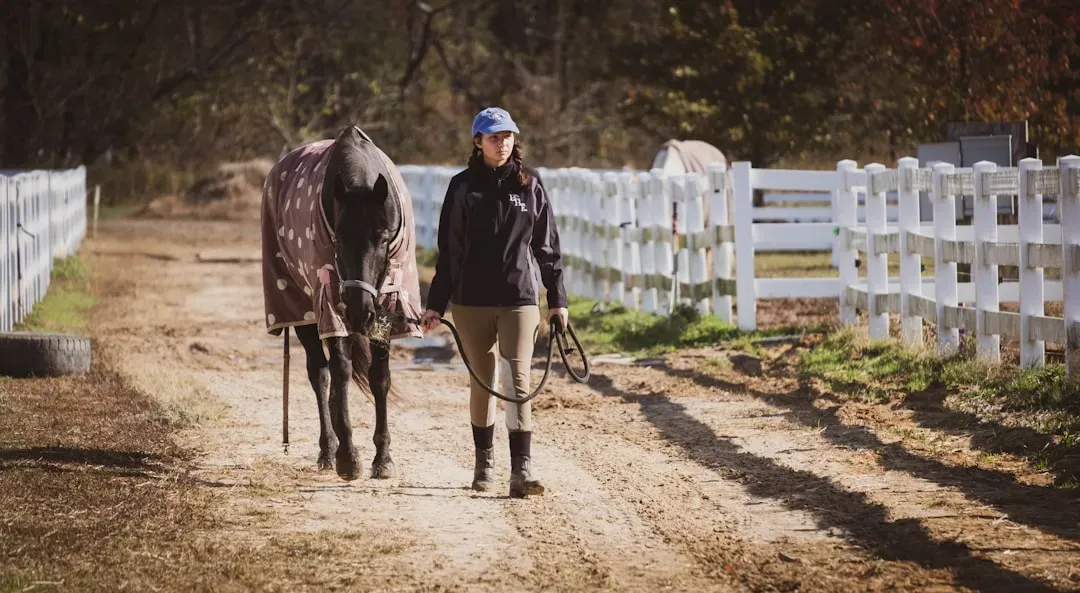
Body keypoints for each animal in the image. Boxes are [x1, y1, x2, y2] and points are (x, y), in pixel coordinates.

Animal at [261, 125, 422, 481]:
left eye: (383, 237)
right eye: (338, 239)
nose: (360, 310)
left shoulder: (388, 306)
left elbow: (379, 378)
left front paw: (383, 458)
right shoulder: (329, 304)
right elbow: (342, 371)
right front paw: (349, 457)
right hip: (303, 309)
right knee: (321, 374)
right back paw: (328, 450)